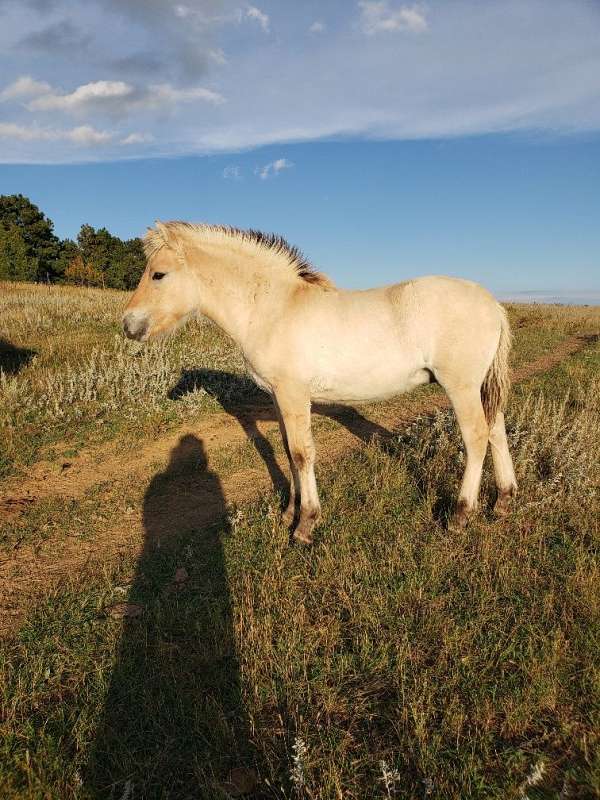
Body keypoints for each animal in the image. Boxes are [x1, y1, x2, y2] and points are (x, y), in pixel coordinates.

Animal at [123, 221, 517, 544]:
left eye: (158, 274)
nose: (129, 325)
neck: (272, 308)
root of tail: (492, 304)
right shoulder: (278, 398)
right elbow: (287, 450)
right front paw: (288, 513)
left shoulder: (293, 394)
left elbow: (301, 453)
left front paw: (305, 524)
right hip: (480, 386)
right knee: (496, 430)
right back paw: (503, 501)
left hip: (460, 386)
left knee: (476, 437)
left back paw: (461, 515)